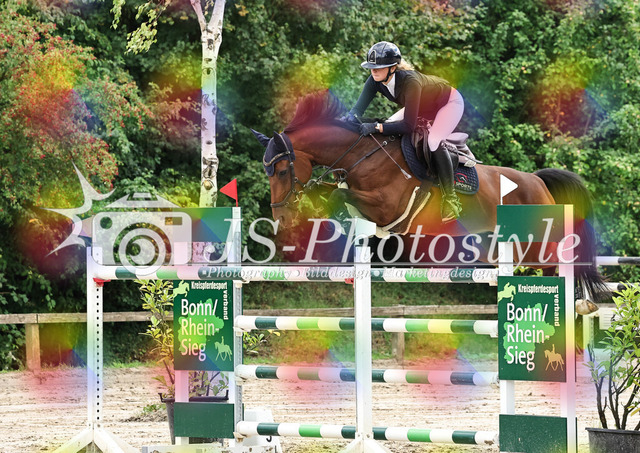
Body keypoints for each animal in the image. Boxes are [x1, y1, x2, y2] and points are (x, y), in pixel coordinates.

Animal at [252, 91, 608, 304]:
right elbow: (335, 192)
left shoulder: (389, 207)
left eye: (280, 171)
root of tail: (537, 180)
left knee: (558, 265)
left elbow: (341, 194)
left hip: (538, 246)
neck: (361, 155)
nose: (281, 218)